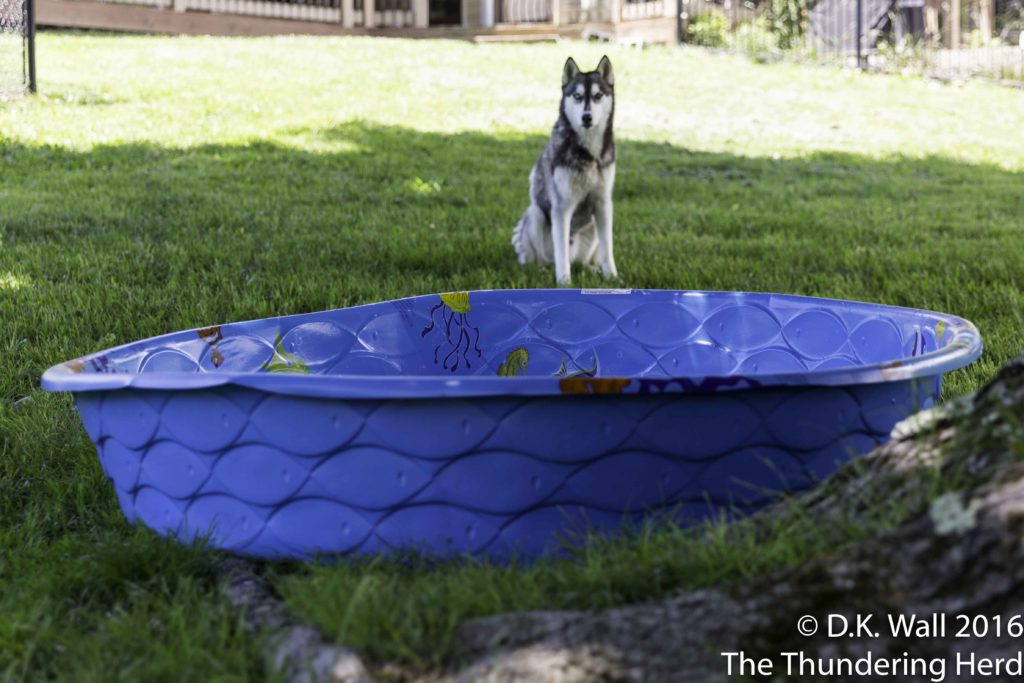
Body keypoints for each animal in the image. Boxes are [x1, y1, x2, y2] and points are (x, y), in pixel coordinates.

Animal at [509, 55, 614, 286]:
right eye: (577, 96)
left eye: (598, 96)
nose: (586, 117)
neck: (588, 153)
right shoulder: (562, 206)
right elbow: (561, 253)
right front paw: (564, 282)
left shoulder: (603, 203)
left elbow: (608, 249)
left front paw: (613, 277)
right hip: (536, 214)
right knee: (544, 258)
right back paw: (541, 270)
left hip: (593, 224)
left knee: (582, 261)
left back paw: (592, 269)